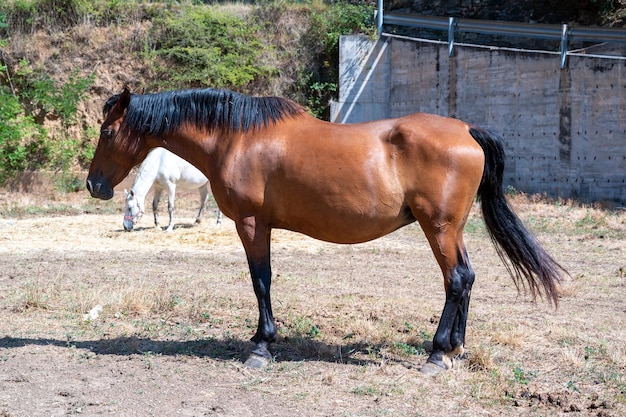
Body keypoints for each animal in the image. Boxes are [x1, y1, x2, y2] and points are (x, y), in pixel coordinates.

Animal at [88, 87, 564, 370]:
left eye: (108, 131)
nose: (94, 185)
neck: (238, 138)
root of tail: (467, 130)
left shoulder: (252, 223)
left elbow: (261, 281)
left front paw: (261, 346)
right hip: (451, 230)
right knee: (465, 279)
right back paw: (454, 350)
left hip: (440, 228)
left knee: (457, 278)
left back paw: (437, 352)